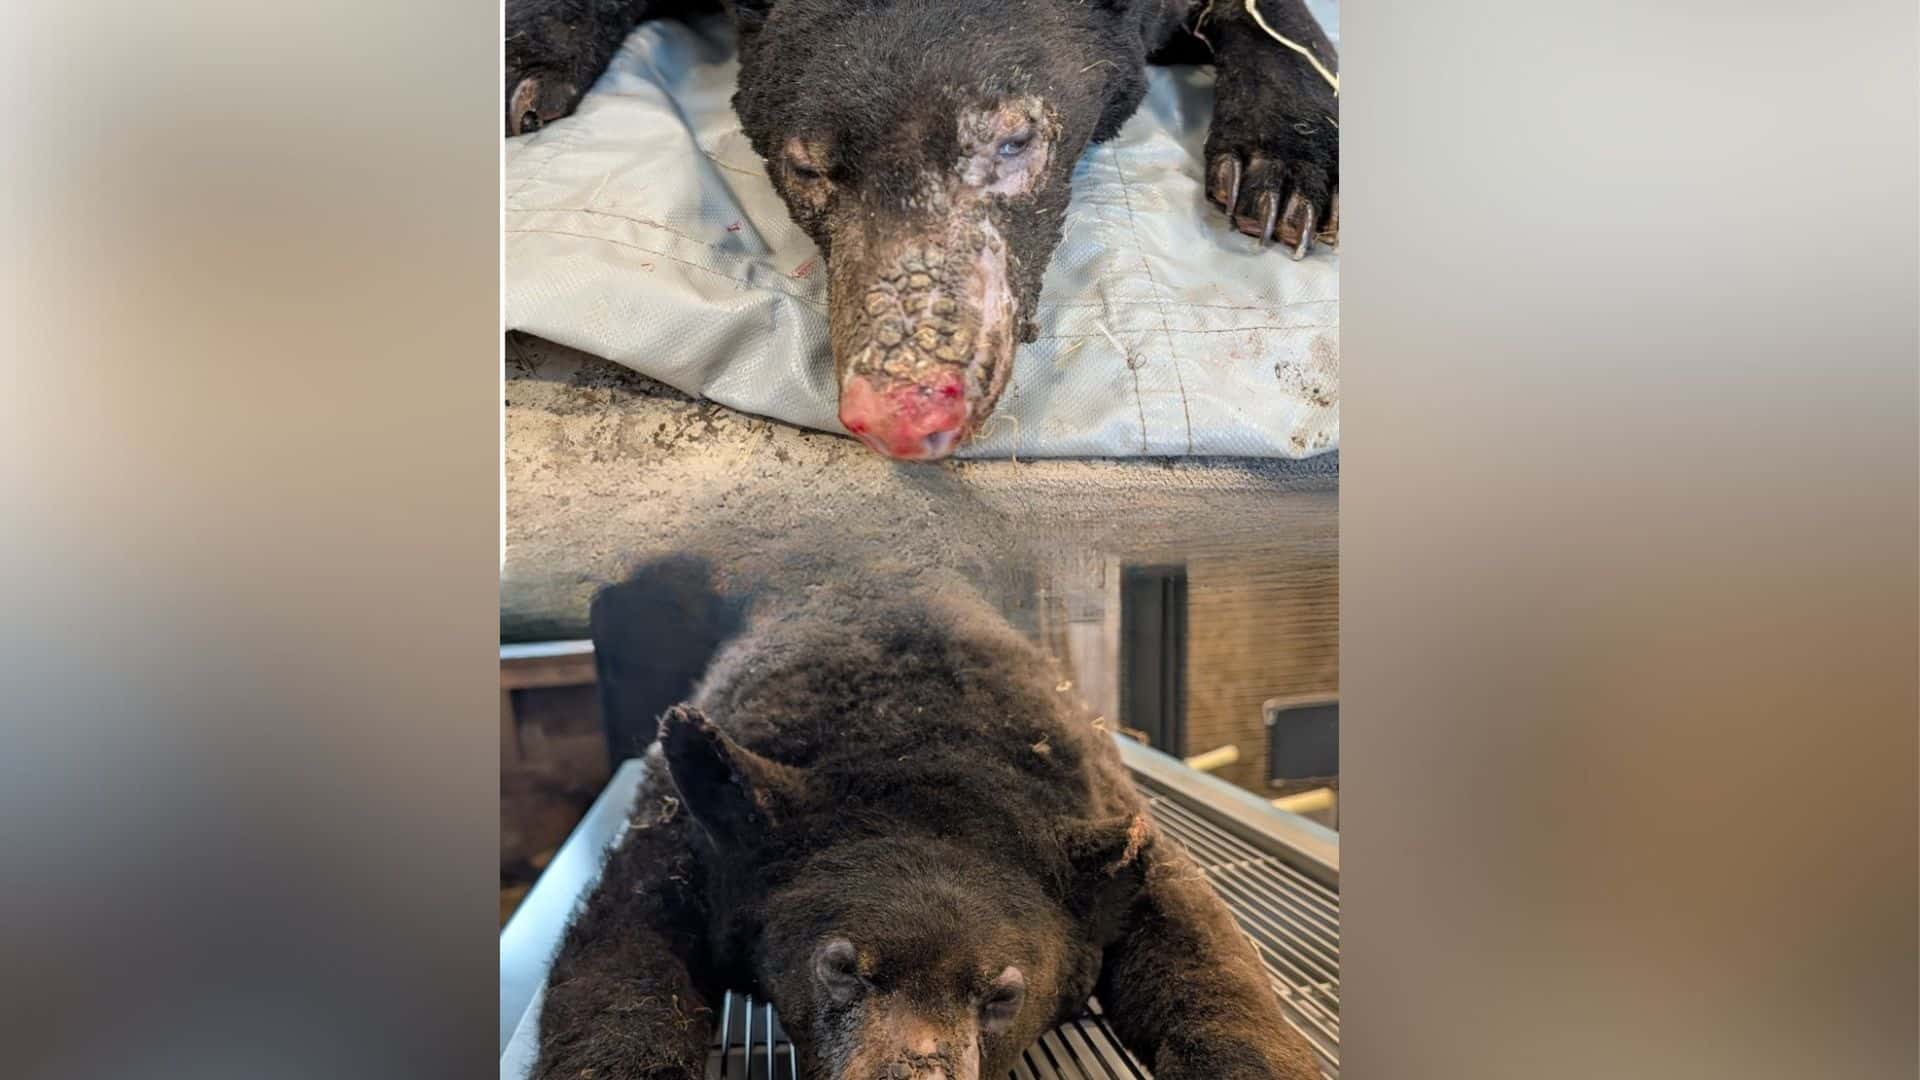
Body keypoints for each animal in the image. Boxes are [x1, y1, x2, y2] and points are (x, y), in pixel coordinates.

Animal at [533, 560, 1321, 1079]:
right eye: (838, 967)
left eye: (1004, 993)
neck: (919, 745)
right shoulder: (699, 845)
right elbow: (620, 960)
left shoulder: (1101, 823)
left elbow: (1201, 949)